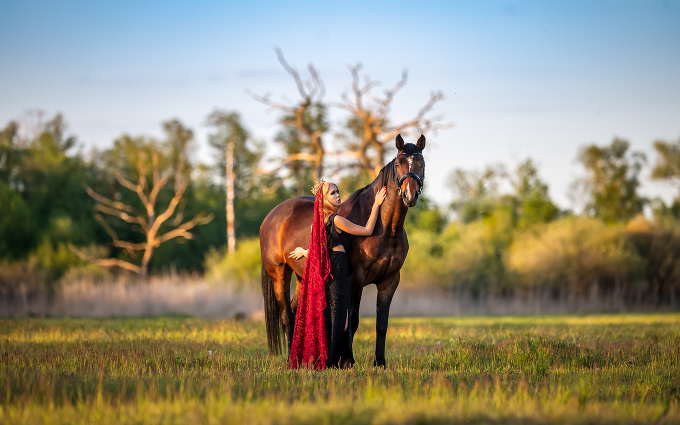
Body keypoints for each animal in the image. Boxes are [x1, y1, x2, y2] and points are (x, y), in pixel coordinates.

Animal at [258, 134, 424, 366]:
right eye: (399, 164)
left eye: (422, 163)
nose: (410, 195)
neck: (385, 228)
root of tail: (271, 216)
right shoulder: (356, 279)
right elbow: (352, 321)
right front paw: (346, 360)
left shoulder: (390, 281)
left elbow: (382, 324)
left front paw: (380, 362)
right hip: (279, 274)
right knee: (286, 317)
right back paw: (294, 359)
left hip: (302, 277)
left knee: (295, 310)